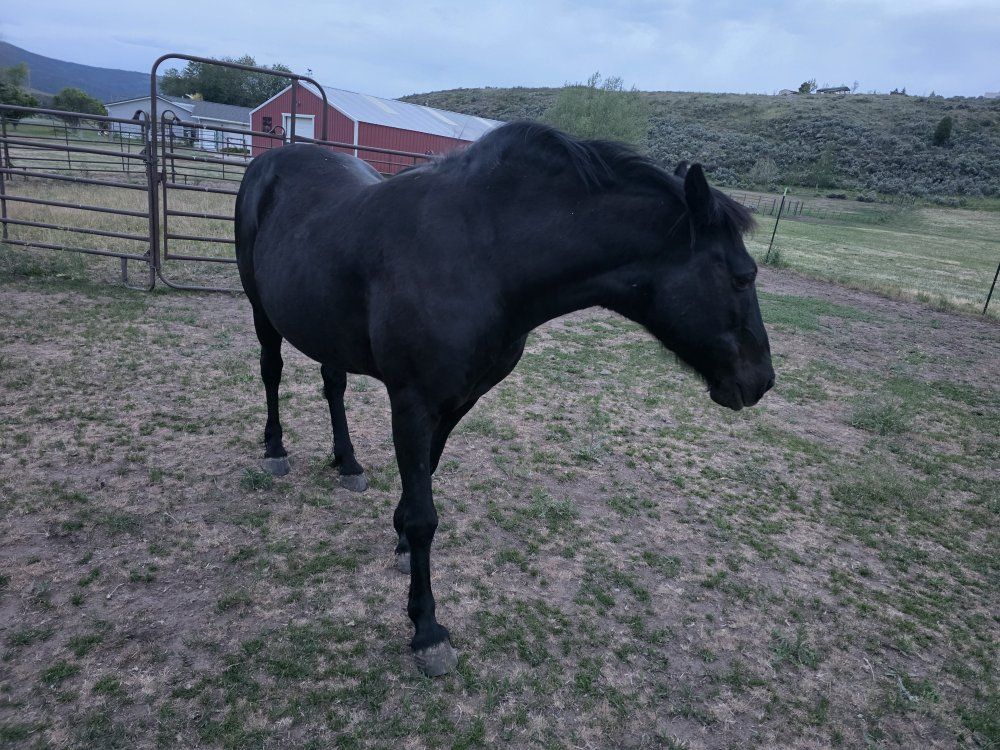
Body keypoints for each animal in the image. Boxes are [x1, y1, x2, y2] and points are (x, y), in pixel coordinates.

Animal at [234, 122, 774, 676]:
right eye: (742, 277)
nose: (761, 379)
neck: (483, 256)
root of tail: (271, 161)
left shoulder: (458, 401)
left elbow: (424, 480)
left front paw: (400, 537)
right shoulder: (412, 402)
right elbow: (426, 516)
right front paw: (427, 630)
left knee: (333, 383)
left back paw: (347, 462)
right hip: (261, 309)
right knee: (271, 371)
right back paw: (275, 450)